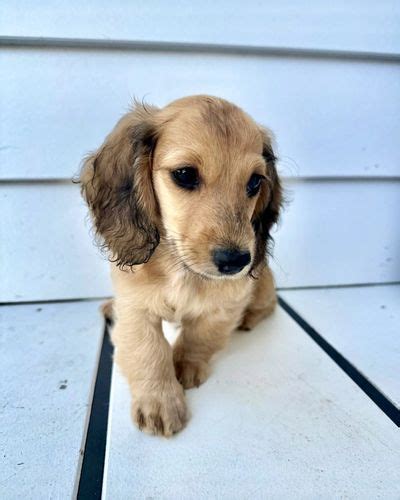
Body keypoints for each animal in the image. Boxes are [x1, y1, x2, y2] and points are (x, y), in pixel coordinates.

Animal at [79, 95, 282, 436]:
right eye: (185, 174)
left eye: (255, 181)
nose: (236, 262)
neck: (181, 269)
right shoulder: (135, 307)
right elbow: (148, 350)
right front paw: (159, 401)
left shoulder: (228, 301)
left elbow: (201, 335)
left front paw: (185, 366)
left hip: (264, 285)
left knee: (269, 305)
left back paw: (249, 319)